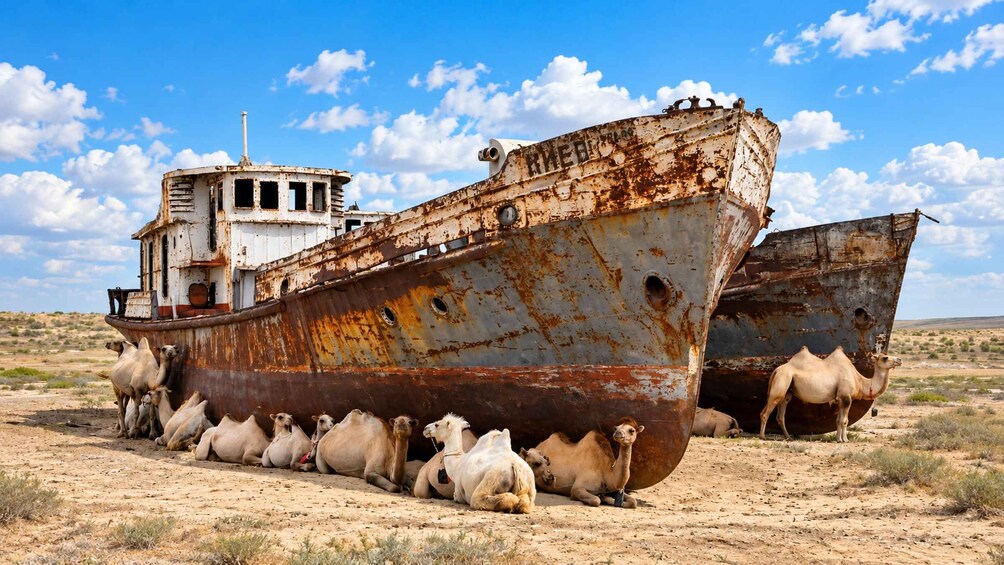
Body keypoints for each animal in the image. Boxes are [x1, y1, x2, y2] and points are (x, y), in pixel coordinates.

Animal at [759, 346, 903, 443]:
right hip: (781, 383)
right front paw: (845, 440)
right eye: (885, 358)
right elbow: (845, 420)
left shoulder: (839, 399)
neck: (859, 380)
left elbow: (838, 420)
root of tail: (776, 370)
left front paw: (839, 439)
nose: (900, 360)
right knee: (765, 412)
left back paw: (788, 437)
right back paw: (762, 436)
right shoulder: (846, 397)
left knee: (780, 415)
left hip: (787, 392)